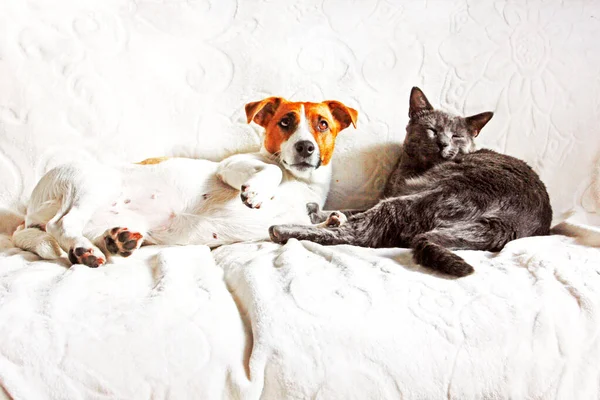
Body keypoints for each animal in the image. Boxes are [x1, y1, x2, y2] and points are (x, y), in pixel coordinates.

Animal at [12, 96, 356, 266]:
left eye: (322, 125)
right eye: (285, 122)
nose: (305, 147)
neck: (304, 182)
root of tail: (26, 220)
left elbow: (321, 218)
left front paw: (334, 219)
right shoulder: (230, 166)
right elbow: (270, 172)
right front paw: (256, 192)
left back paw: (116, 242)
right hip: (92, 182)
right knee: (62, 224)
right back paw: (85, 251)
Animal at [270, 86, 552, 278]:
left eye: (457, 136)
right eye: (432, 130)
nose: (443, 143)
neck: (412, 169)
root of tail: (510, 224)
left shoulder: (395, 196)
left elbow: (356, 217)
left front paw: (323, 216)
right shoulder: (385, 194)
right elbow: (353, 208)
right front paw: (327, 212)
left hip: (421, 200)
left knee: (358, 233)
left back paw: (283, 229)